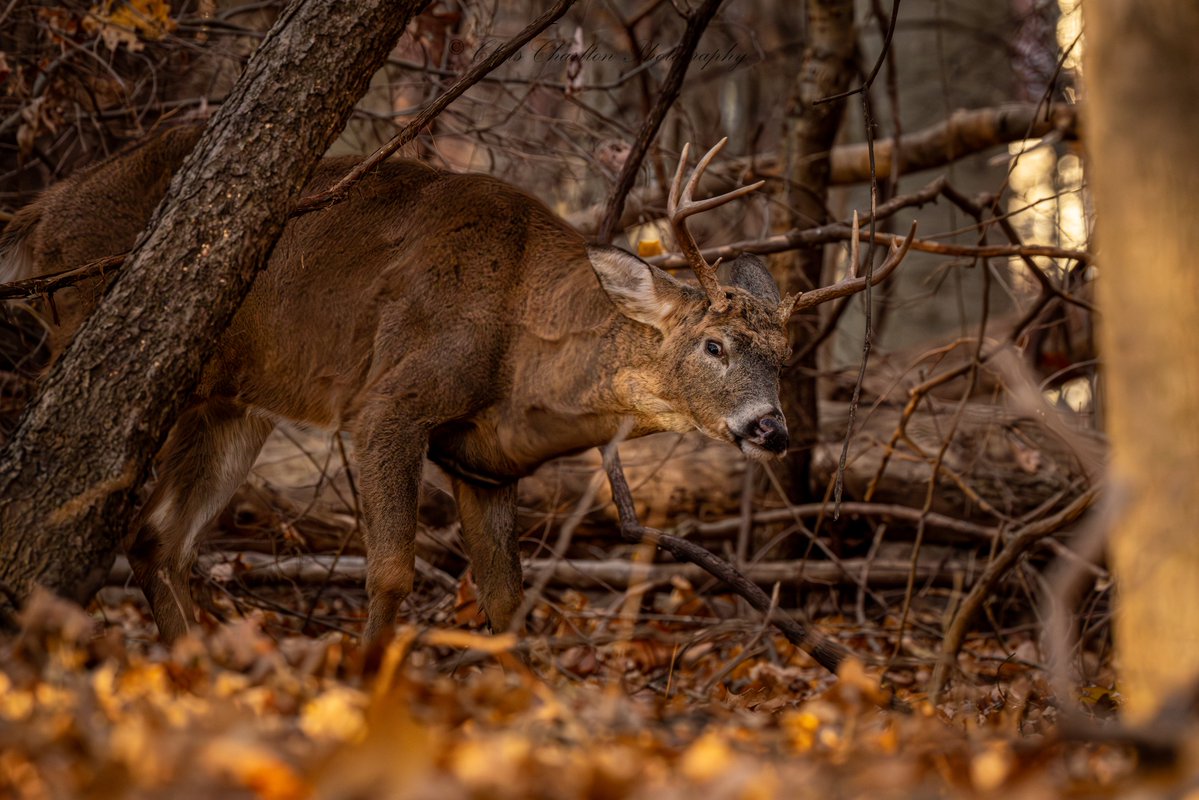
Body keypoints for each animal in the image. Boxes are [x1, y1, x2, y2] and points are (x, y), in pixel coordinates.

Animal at [0, 126, 913, 650]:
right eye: (714, 343)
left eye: (784, 357)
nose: (770, 430)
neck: (517, 344)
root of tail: (39, 211)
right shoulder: (385, 405)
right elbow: (392, 575)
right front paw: (362, 692)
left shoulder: (484, 465)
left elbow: (508, 602)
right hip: (105, 343)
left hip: (235, 403)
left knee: (158, 538)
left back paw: (197, 676)